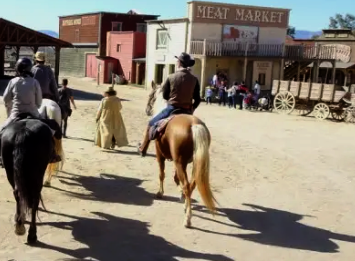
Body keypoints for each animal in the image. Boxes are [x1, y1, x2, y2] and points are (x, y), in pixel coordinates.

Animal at [1, 116, 62, 244]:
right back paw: (32, 234)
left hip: (10, 172)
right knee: (34, 198)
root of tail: (22, 133)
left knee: (17, 193)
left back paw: (19, 224)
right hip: (37, 174)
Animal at [145, 81, 217, 228]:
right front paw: (181, 196)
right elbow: (176, 177)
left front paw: (160, 193)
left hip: (179, 162)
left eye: (151, 96)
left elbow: (162, 174)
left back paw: (188, 218)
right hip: (194, 164)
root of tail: (194, 125)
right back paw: (186, 206)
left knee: (187, 186)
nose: (147, 110)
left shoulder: (160, 155)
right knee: (191, 184)